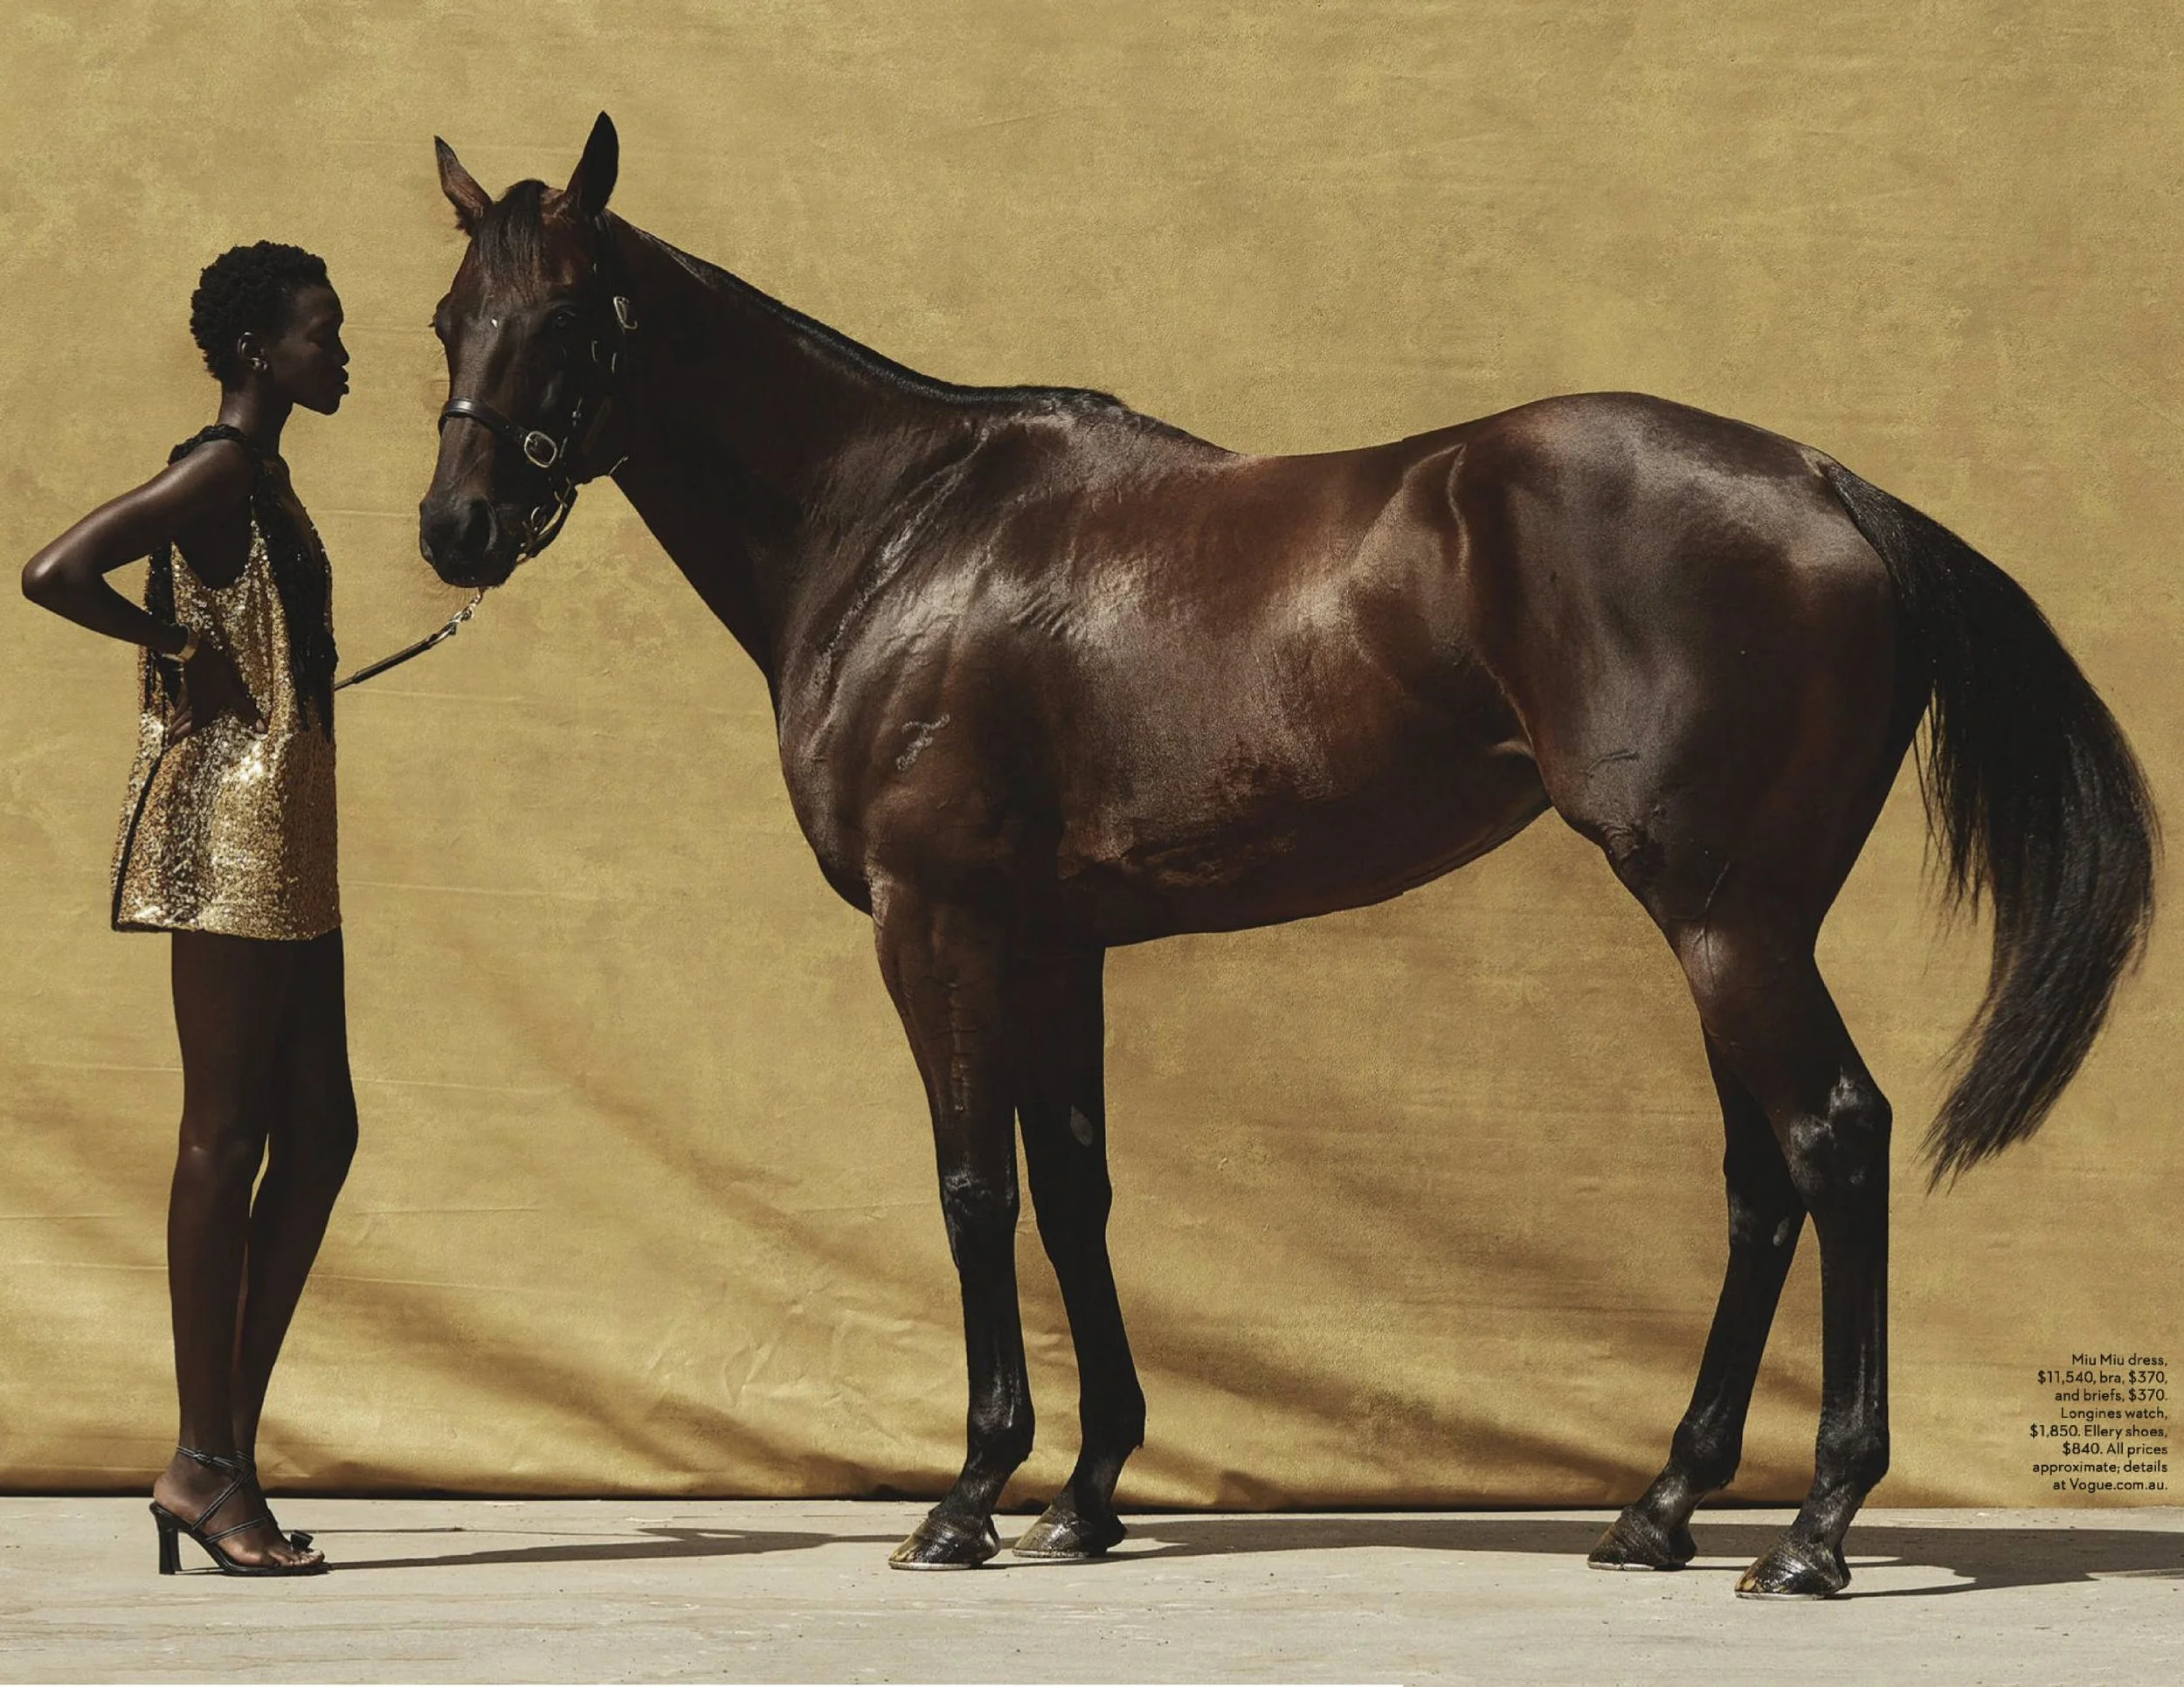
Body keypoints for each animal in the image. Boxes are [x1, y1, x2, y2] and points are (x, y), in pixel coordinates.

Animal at [414, 114, 2155, 1596]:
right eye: (447, 318)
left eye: (569, 321)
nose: (454, 530)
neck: (908, 530)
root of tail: (1823, 482)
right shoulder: (1053, 943)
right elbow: (1077, 1189)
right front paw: (1085, 1496)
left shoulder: (938, 921)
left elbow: (976, 1187)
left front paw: (969, 1500)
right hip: (1746, 924)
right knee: (1760, 1178)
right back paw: (1660, 1510)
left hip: (1726, 917)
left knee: (1835, 1140)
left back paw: (1810, 1531)